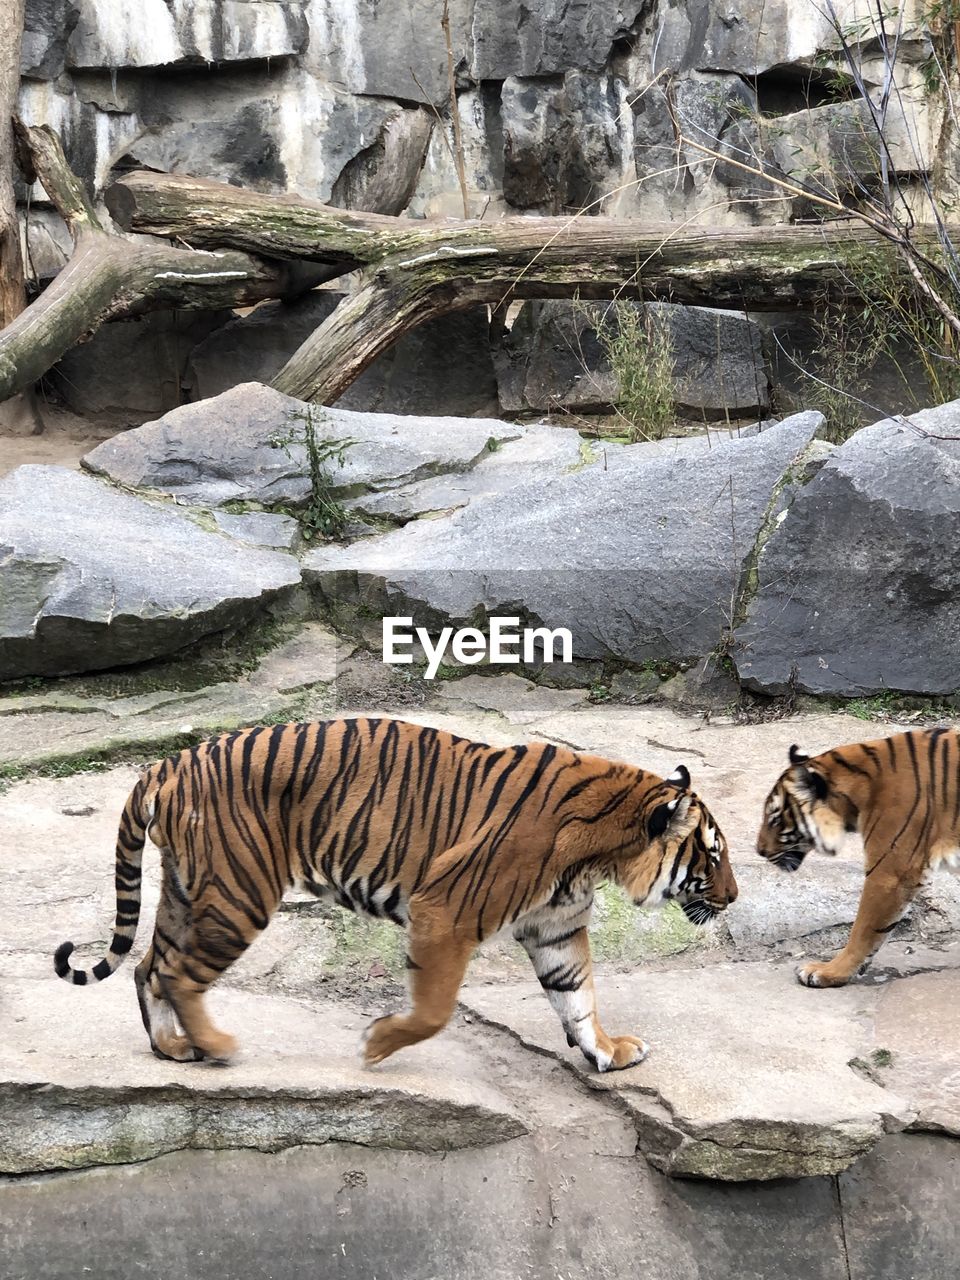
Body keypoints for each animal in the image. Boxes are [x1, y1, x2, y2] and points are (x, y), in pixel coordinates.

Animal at [54, 721, 737, 1070]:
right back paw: (216, 1047)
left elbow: (578, 997)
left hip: (186, 890)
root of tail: (167, 763)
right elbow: (434, 1010)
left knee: (149, 967)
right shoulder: (447, 910)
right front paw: (376, 1044)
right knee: (179, 974)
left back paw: (173, 1048)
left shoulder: (556, 925)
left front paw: (608, 1050)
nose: (733, 897)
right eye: (712, 855)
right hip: (238, 893)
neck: (602, 852)